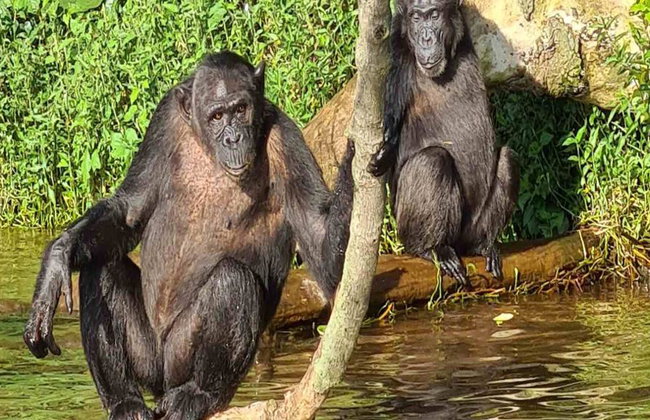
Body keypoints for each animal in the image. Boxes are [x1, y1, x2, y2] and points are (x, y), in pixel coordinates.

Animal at [24, 51, 354, 420]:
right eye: (217, 115)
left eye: (241, 109)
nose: (232, 137)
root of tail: (162, 386)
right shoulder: (164, 120)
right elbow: (130, 209)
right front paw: (56, 260)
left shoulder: (287, 140)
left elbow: (319, 239)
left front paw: (361, 155)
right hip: (148, 359)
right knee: (101, 267)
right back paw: (124, 402)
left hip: (179, 359)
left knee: (232, 279)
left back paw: (198, 395)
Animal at [367, 0, 519, 288]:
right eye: (417, 18)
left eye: (434, 15)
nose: (426, 37)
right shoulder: (395, 64)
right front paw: (382, 155)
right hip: (405, 226)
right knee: (432, 161)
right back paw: (434, 249)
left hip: (473, 227)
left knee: (508, 158)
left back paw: (484, 246)